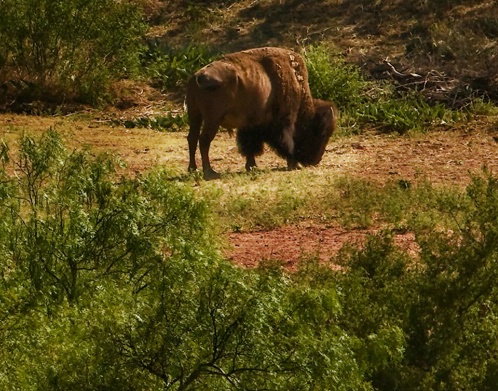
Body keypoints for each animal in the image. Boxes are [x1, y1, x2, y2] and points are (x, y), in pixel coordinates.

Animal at [187, 46, 338, 180]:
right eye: (322, 133)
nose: (316, 160)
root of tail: (198, 76)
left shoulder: (249, 125)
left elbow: (249, 146)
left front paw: (251, 166)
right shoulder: (284, 120)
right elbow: (286, 142)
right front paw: (294, 164)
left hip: (195, 115)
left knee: (192, 138)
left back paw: (193, 170)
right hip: (212, 119)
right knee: (204, 140)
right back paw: (209, 172)